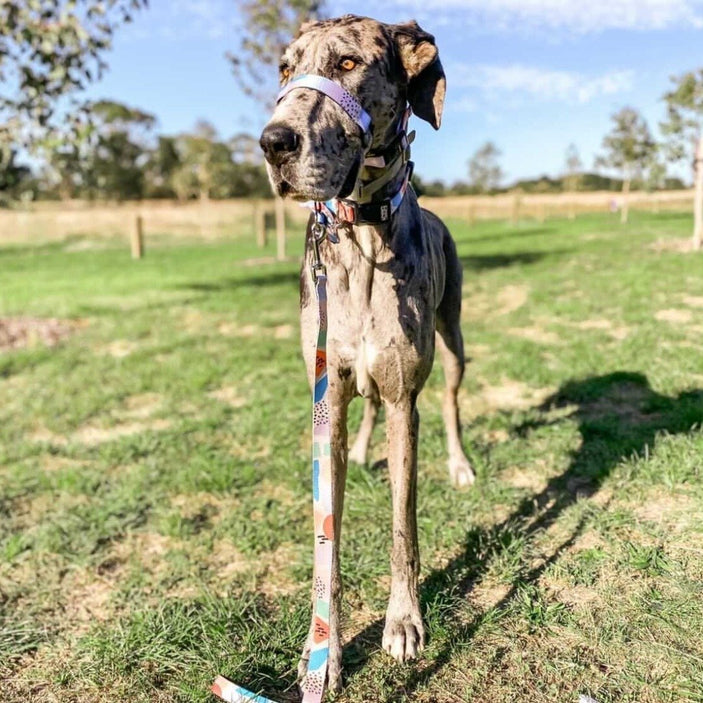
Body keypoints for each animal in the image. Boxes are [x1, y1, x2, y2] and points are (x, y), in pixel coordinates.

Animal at [258, 13, 472, 696]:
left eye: (349, 64)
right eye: (285, 68)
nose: (272, 143)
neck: (359, 233)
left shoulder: (406, 399)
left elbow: (404, 528)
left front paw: (403, 623)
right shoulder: (326, 395)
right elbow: (326, 541)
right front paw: (319, 651)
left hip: (452, 341)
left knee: (452, 399)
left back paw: (460, 464)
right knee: (365, 407)